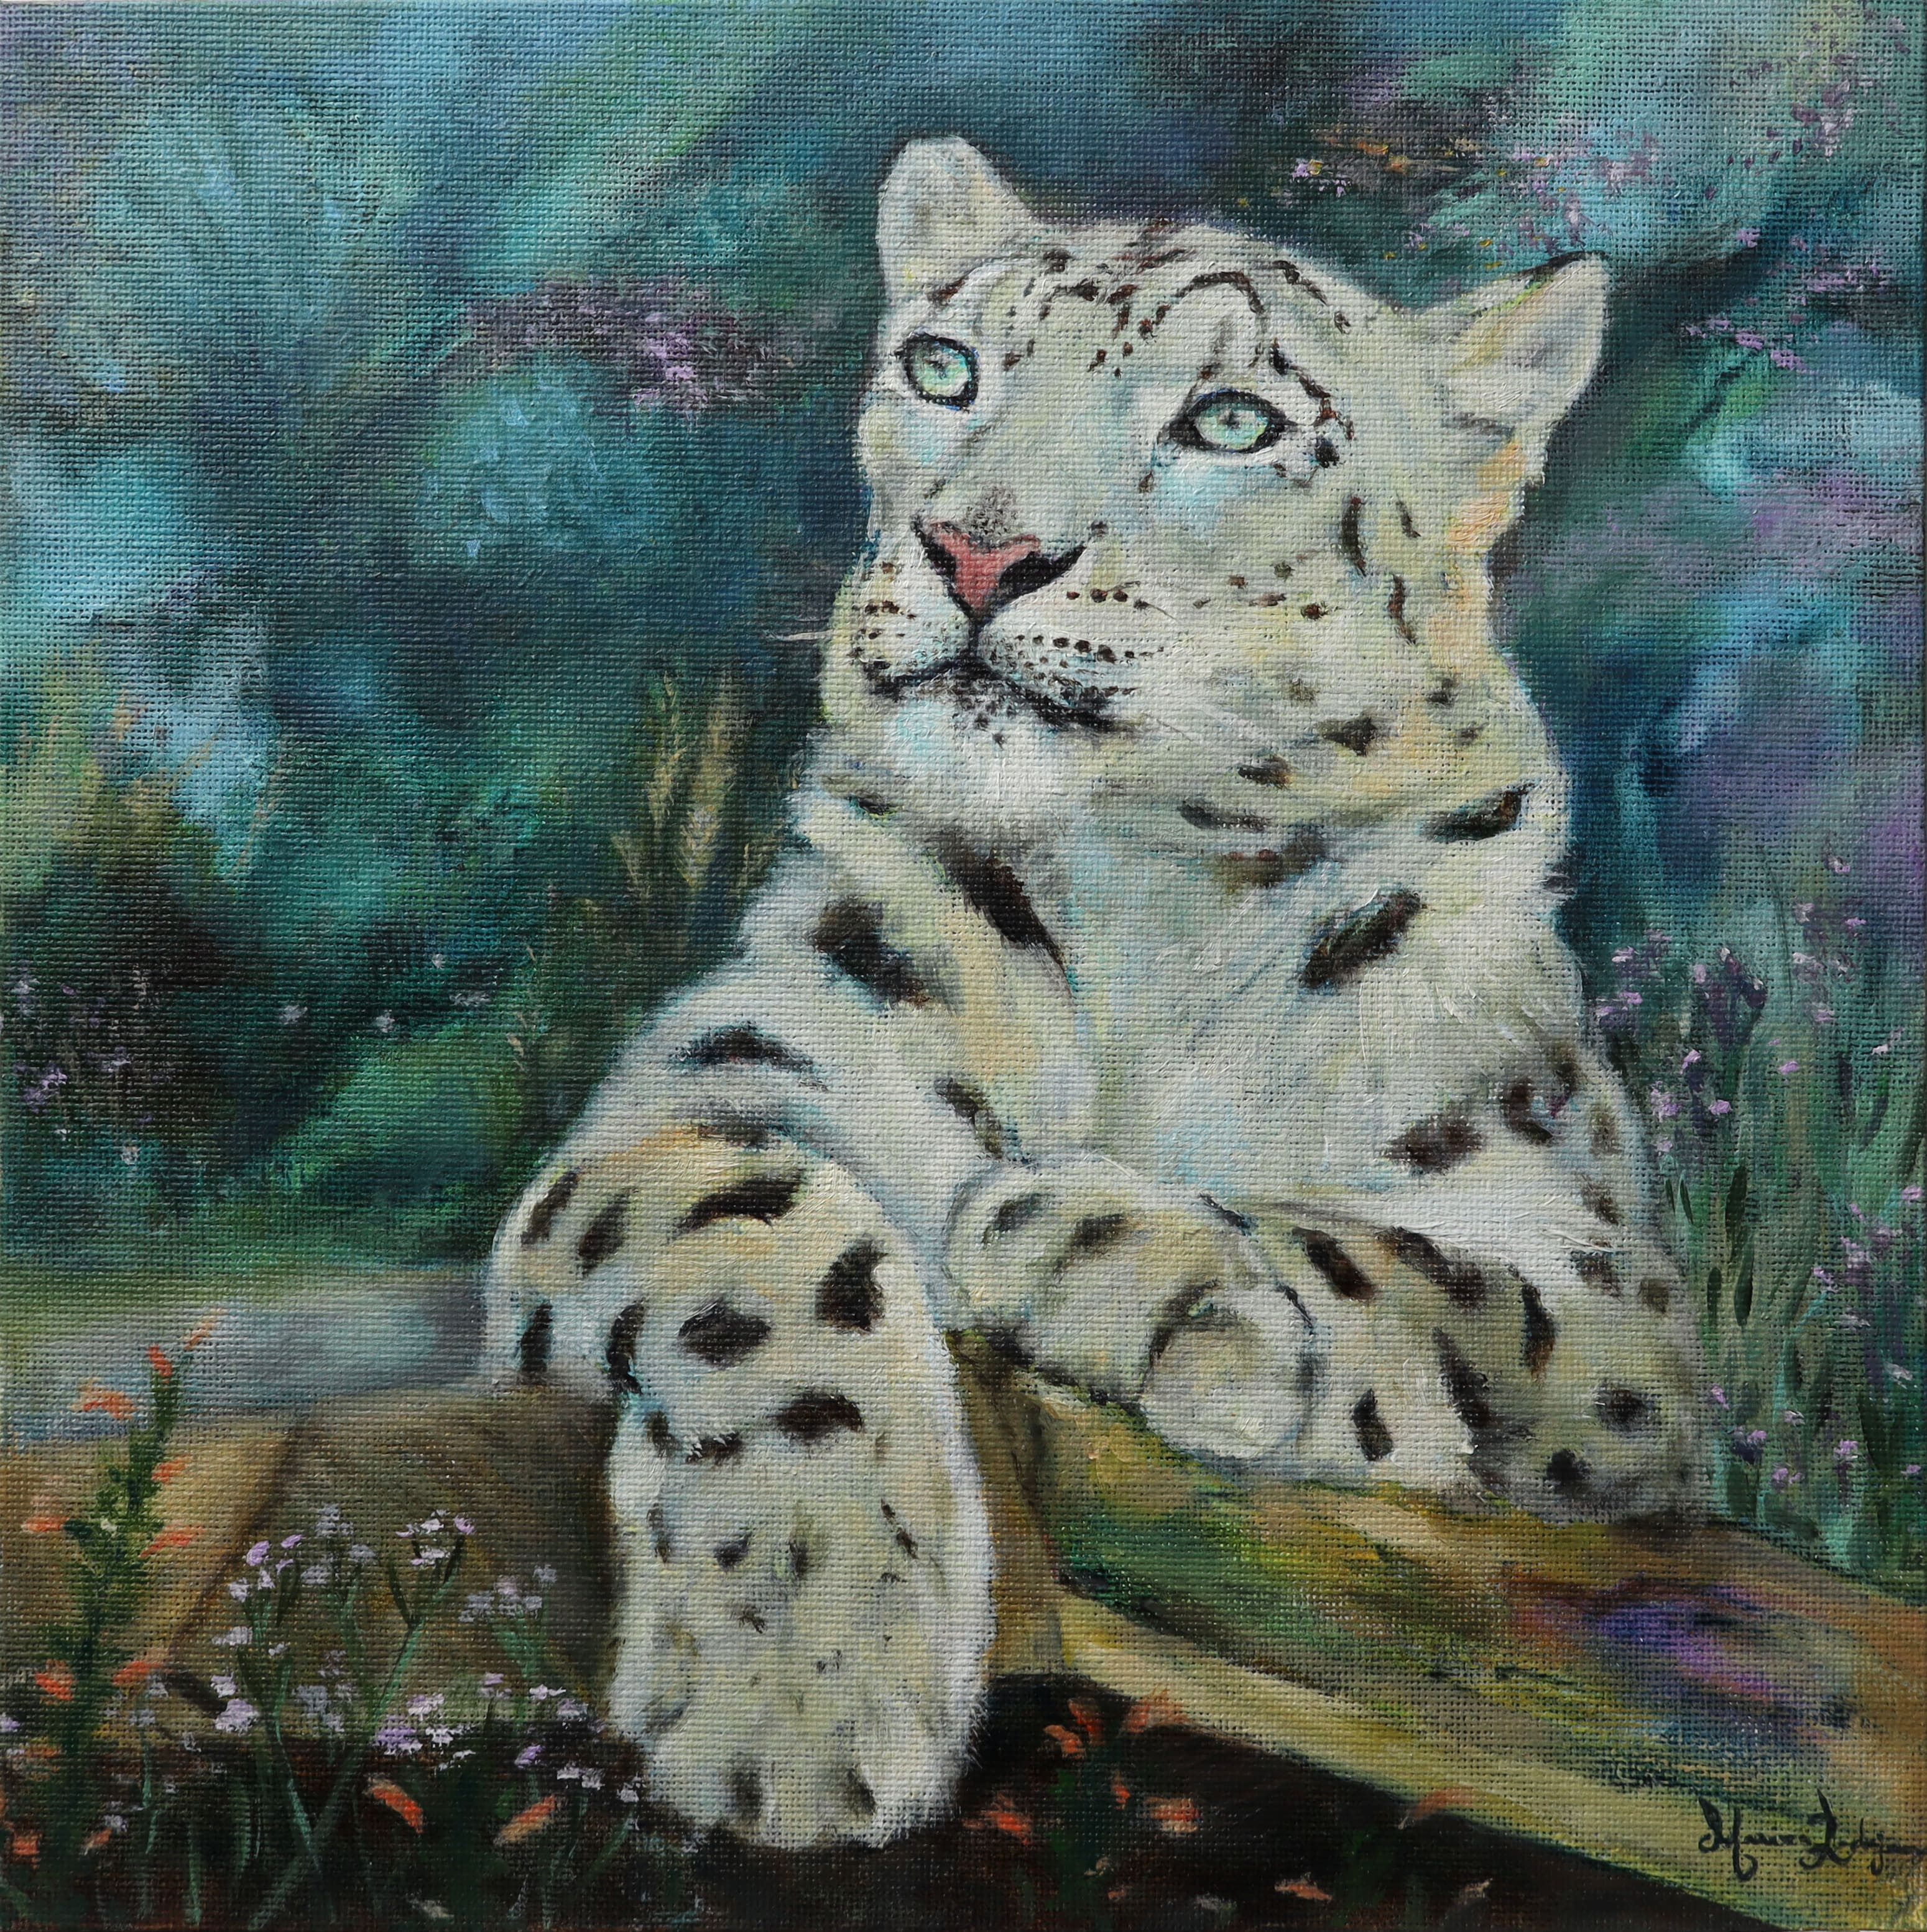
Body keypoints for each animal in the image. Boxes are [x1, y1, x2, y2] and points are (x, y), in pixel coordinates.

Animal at [481, 137, 1707, 1850]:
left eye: (1230, 420)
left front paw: (1129, 1263)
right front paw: (800, 1687)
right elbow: (771, 1240)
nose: (978, 549)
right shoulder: (713, 1084)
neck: (1149, 897)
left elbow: (1422, 1270)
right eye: (943, 368)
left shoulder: (1611, 1288)